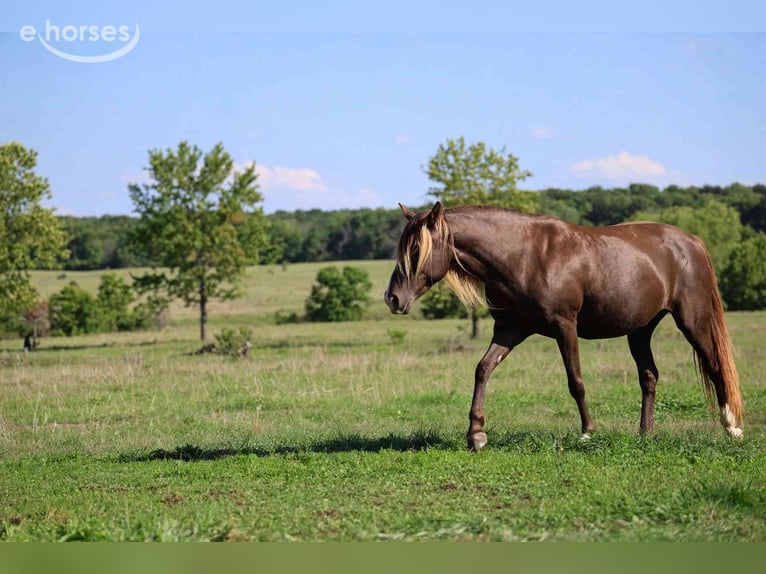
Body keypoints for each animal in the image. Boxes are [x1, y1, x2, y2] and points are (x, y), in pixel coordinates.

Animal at [384, 202, 744, 451]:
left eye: (416, 249)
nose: (392, 298)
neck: (526, 255)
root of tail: (693, 243)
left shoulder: (564, 326)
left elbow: (576, 382)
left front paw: (587, 432)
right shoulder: (510, 330)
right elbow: (482, 369)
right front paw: (476, 434)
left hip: (692, 319)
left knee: (714, 365)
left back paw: (732, 427)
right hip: (640, 330)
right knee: (649, 376)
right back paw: (645, 433)